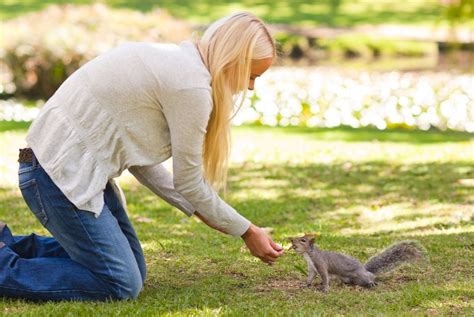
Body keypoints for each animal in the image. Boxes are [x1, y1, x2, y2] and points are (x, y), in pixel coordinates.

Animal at [288, 232, 426, 292]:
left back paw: (372, 283)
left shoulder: (321, 264)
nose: (291, 240)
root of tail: (366, 271)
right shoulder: (312, 268)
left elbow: (325, 277)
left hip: (361, 277)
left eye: (303, 240)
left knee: (370, 279)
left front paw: (325, 288)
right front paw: (305, 285)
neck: (309, 254)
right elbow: (310, 277)